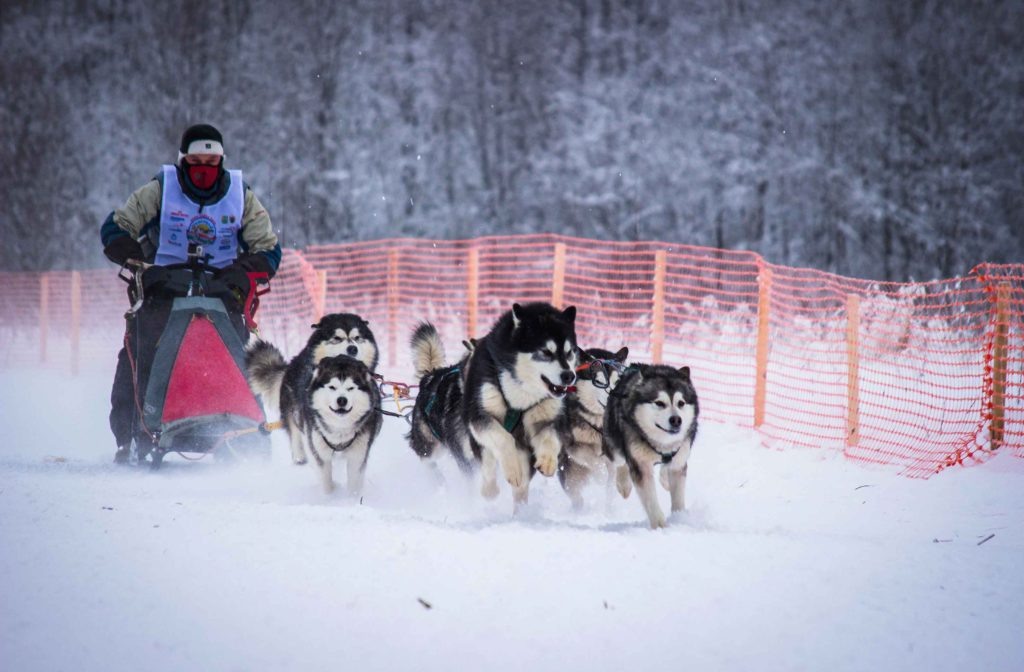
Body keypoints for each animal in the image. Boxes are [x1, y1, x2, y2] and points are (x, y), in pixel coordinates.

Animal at [245, 342, 382, 493]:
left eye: (351, 388)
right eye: (332, 387)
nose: (342, 400)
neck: (339, 429)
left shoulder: (358, 454)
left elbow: (354, 482)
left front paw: (352, 496)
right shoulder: (319, 452)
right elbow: (326, 480)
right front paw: (331, 496)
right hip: (294, 418)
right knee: (296, 438)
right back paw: (300, 457)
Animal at [557, 346, 626, 510]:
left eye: (617, 381)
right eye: (599, 381)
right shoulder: (573, 447)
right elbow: (593, 461)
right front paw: (601, 475)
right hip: (568, 473)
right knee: (575, 495)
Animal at [602, 364, 700, 528]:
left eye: (681, 403)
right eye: (659, 403)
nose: (676, 420)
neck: (662, 443)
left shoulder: (679, 460)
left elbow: (678, 493)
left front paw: (679, 517)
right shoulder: (641, 464)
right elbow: (650, 499)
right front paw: (660, 525)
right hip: (613, 441)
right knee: (619, 461)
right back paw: (623, 484)